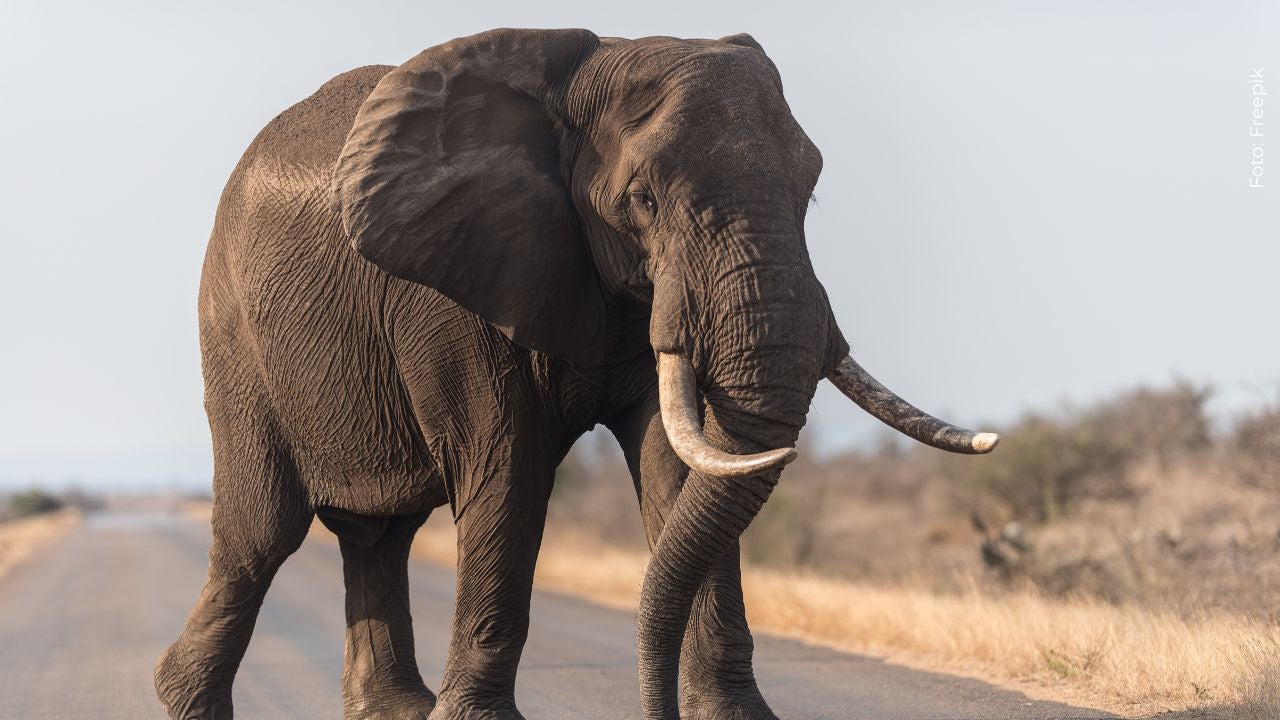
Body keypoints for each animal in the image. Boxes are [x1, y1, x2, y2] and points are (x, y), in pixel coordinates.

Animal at [154, 28, 998, 720]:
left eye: (811, 188)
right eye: (644, 200)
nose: (655, 712)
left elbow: (676, 467)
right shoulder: (453, 288)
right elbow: (509, 470)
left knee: (379, 535)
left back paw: (394, 709)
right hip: (235, 340)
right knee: (261, 534)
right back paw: (183, 695)